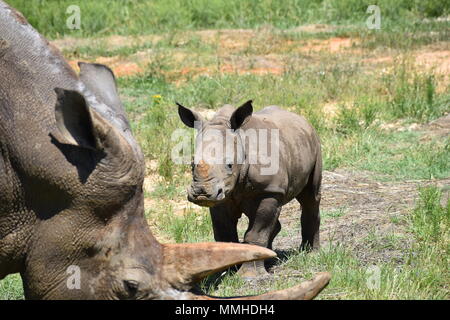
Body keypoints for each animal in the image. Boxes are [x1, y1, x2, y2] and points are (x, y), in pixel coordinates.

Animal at [178, 100, 322, 278]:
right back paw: (270, 258)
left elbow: (256, 233)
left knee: (310, 197)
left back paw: (311, 253)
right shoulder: (221, 197)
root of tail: (302, 120)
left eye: (229, 165)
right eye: (192, 165)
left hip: (314, 144)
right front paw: (225, 272)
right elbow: (224, 233)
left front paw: (250, 276)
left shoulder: (269, 191)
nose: (201, 193)